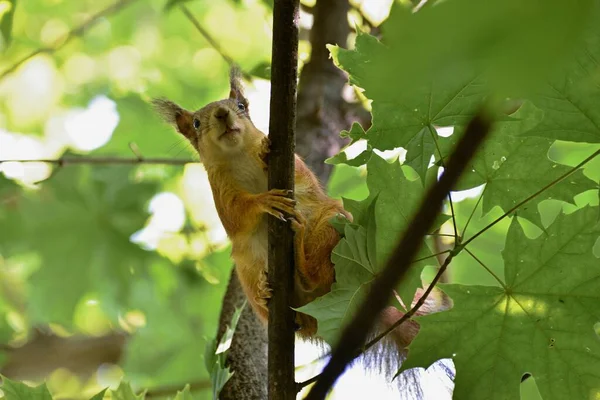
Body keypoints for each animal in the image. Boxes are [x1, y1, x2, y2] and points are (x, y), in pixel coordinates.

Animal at [152, 68, 438, 350]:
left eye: (241, 106)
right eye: (197, 123)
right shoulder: (220, 191)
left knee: (317, 274)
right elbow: (236, 215)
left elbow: (301, 177)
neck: (238, 155)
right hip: (247, 267)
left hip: (333, 227)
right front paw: (264, 201)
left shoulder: (295, 163)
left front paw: (264, 150)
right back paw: (266, 293)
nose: (222, 113)